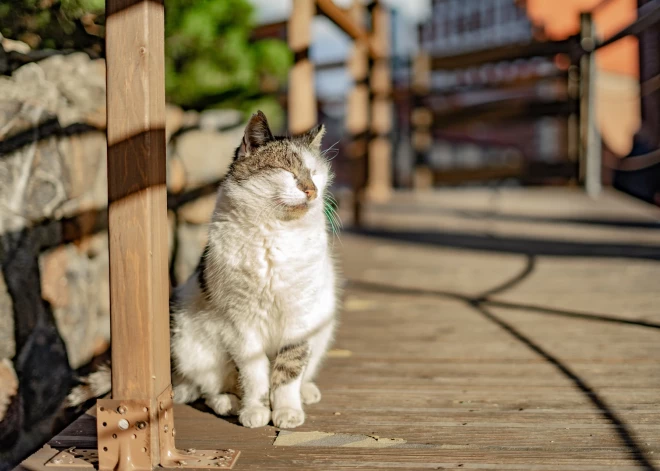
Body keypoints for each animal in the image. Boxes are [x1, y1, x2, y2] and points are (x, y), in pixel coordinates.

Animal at [67, 112, 340, 430]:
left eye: (315, 172)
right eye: (287, 171)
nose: (312, 190)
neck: (275, 237)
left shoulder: (300, 317)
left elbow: (289, 370)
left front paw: (286, 411)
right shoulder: (241, 323)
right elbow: (255, 373)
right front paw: (256, 410)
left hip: (323, 329)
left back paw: (305, 391)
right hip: (192, 344)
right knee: (202, 389)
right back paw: (229, 403)